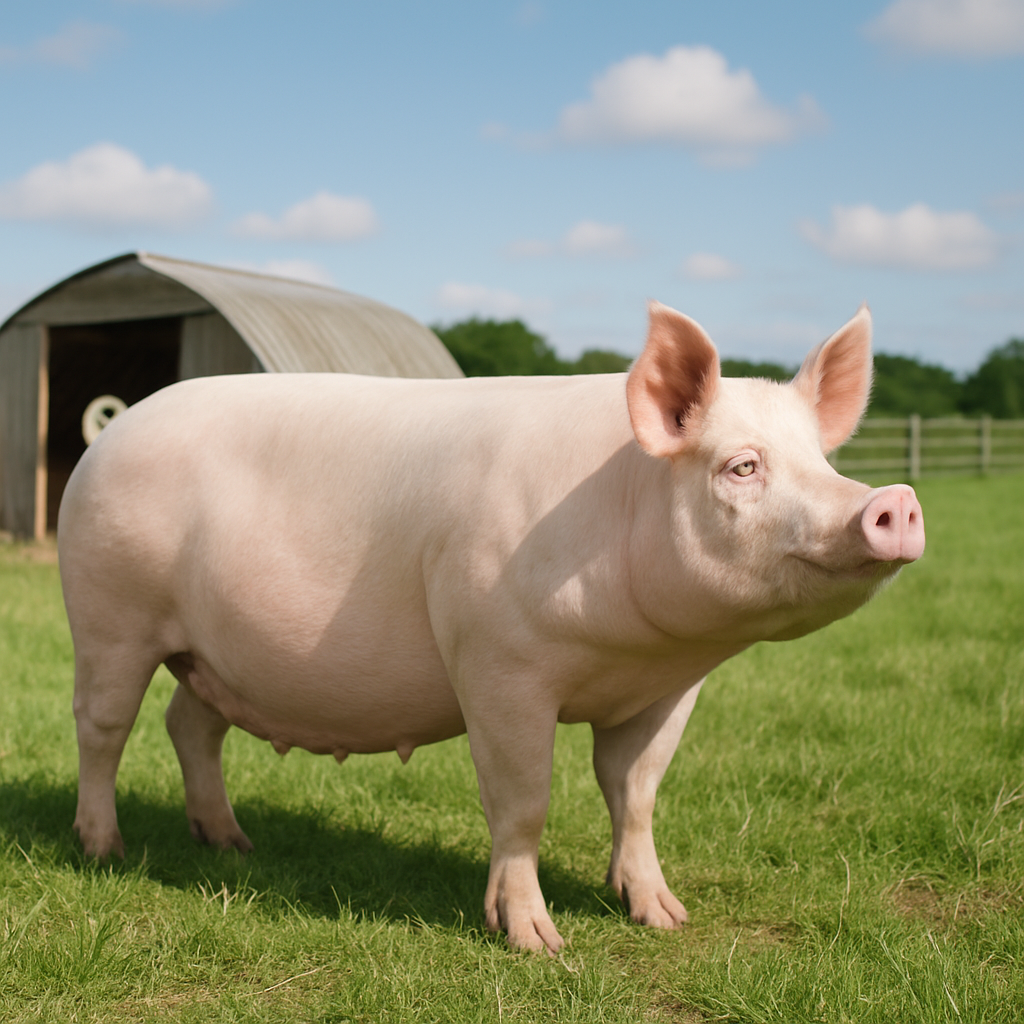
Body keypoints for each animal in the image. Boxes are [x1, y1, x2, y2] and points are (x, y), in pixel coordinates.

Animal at [58, 301, 923, 953]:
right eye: (742, 466)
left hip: (212, 652)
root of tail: (110, 433)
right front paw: (537, 943)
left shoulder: (668, 690)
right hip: (107, 613)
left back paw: (231, 845)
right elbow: (523, 800)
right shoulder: (500, 661)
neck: (631, 653)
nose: (894, 500)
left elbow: (636, 794)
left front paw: (664, 918)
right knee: (103, 726)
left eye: (823, 459)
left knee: (189, 724)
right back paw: (104, 849)